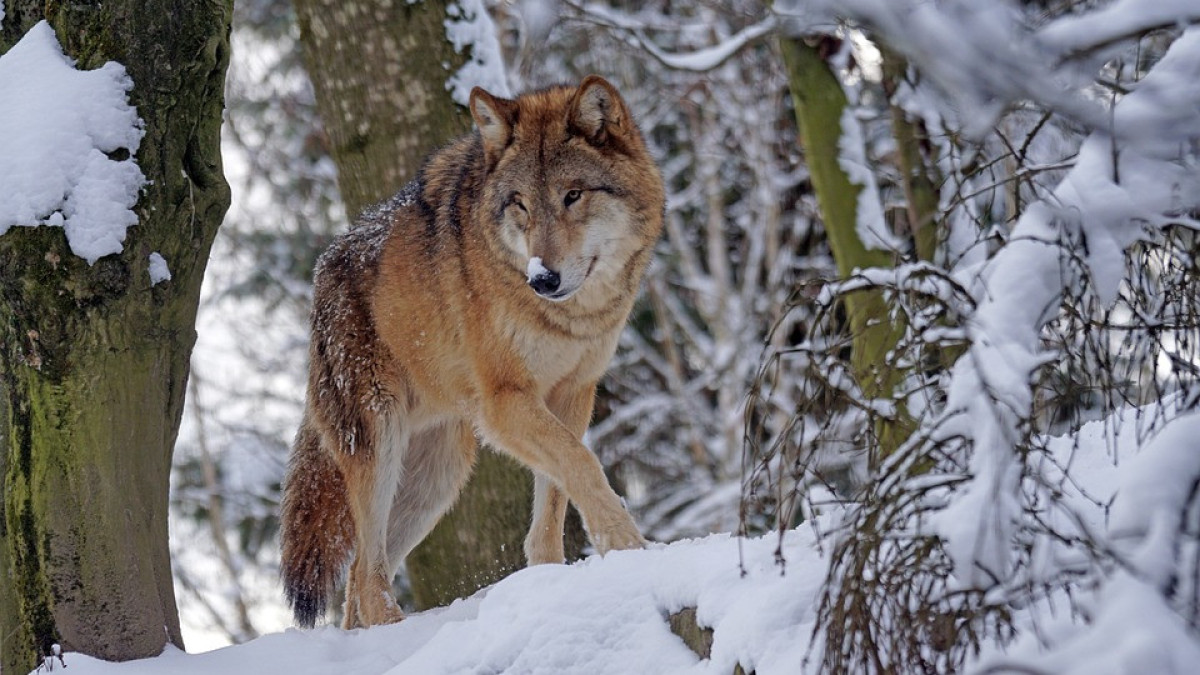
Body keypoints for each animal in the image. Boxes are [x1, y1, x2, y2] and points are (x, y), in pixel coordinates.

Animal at [277, 73, 667, 624]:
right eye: (520, 203)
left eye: (573, 195)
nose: (542, 279)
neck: (570, 319)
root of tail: (322, 270)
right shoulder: (505, 402)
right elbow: (584, 465)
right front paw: (629, 548)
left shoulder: (573, 394)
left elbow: (556, 498)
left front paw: (552, 580)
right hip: (381, 445)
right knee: (367, 575)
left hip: (438, 477)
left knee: (357, 578)